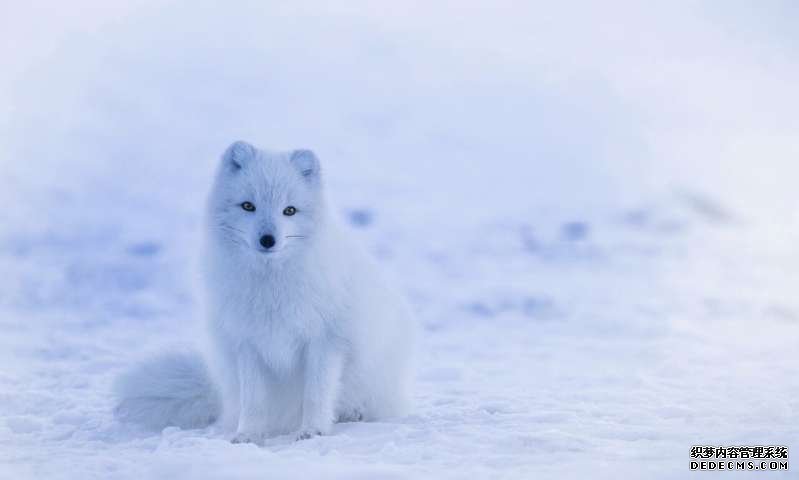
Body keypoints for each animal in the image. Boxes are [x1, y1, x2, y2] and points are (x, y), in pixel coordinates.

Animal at [115, 140, 416, 442]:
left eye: (289, 210)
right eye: (248, 206)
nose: (268, 240)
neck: (271, 286)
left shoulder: (325, 340)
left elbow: (316, 393)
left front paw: (313, 430)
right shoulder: (247, 343)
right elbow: (254, 400)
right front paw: (248, 435)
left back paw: (352, 413)